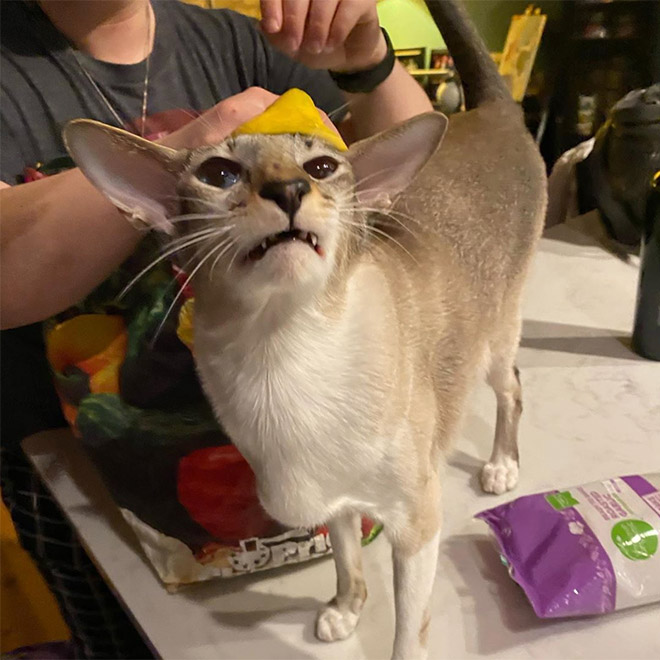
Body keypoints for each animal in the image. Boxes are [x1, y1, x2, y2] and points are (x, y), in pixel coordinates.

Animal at [63, 2, 548, 656]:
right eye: (220, 173)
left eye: (321, 167)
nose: (289, 188)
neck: (281, 355)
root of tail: (492, 110)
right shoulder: (333, 503)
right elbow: (345, 560)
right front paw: (345, 612)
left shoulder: (416, 526)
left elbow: (407, 631)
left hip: (496, 335)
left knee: (513, 385)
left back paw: (501, 466)